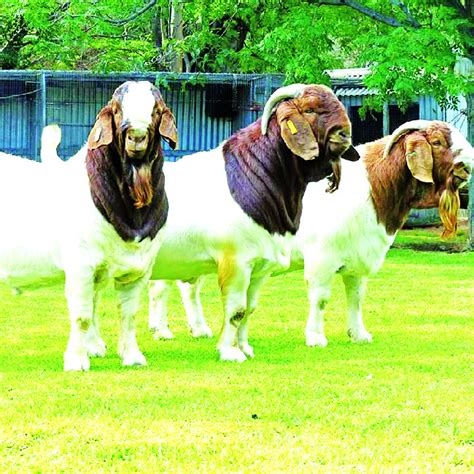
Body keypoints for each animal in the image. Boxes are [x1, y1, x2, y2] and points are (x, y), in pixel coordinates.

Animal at [0, 80, 178, 370]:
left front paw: (131, 356)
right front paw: (76, 360)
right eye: (117, 110)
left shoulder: (139, 269)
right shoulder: (80, 266)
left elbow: (128, 315)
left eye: (156, 110)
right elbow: (82, 315)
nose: (137, 135)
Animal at [145, 83, 360, 362]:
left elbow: (249, 308)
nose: (344, 135)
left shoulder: (260, 266)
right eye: (310, 109)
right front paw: (229, 352)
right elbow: (236, 309)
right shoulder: (235, 262)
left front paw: (244, 348)